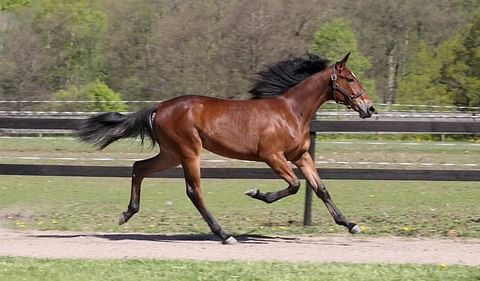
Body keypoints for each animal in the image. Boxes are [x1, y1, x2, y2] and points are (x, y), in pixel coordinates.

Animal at [79, 52, 376, 243]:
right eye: (350, 79)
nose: (369, 108)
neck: (291, 112)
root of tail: (159, 107)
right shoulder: (272, 156)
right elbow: (294, 185)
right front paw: (257, 193)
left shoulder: (301, 156)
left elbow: (320, 188)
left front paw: (351, 225)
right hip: (188, 152)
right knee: (194, 191)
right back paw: (224, 234)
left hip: (171, 154)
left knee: (139, 167)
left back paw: (126, 214)